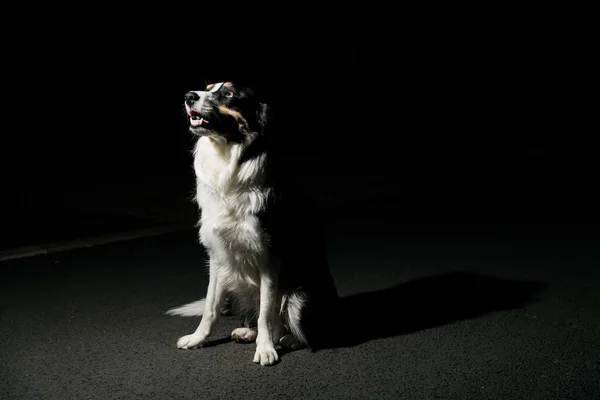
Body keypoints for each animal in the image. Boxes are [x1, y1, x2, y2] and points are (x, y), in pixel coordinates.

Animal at [166, 80, 340, 366]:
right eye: (207, 87)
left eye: (228, 93)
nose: (189, 96)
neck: (228, 157)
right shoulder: (218, 255)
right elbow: (210, 307)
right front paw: (198, 339)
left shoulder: (270, 256)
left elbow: (267, 312)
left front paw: (266, 349)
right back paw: (248, 333)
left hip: (301, 296)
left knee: (302, 331)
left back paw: (286, 339)